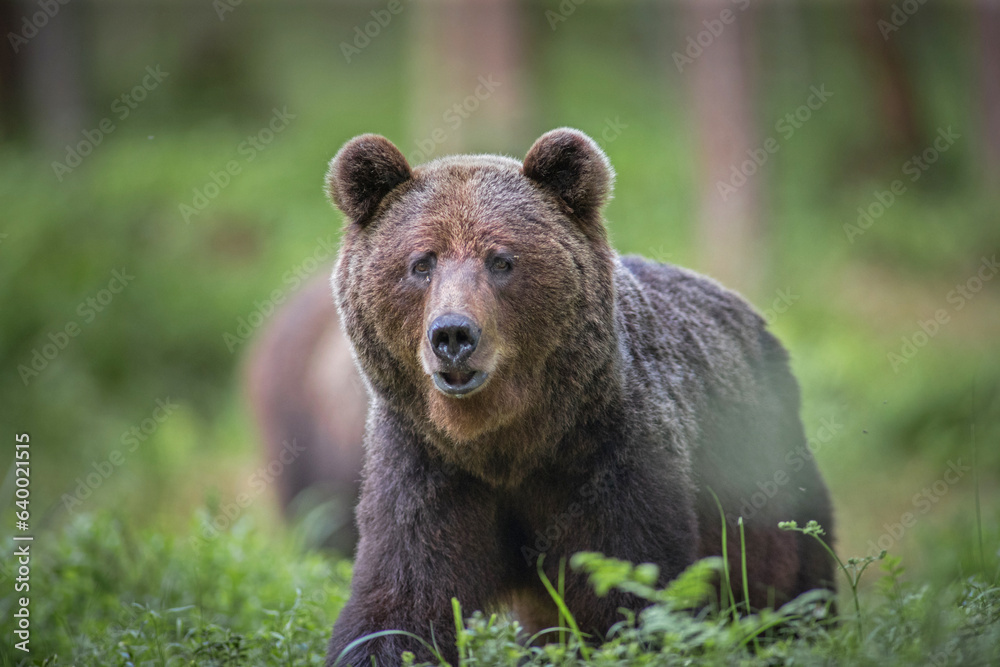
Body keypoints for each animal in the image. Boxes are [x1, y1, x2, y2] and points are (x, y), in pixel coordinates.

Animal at [324, 128, 832, 664]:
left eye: (501, 260)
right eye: (422, 262)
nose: (453, 334)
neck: (505, 441)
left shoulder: (609, 457)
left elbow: (632, 589)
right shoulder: (426, 465)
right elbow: (402, 601)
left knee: (796, 579)